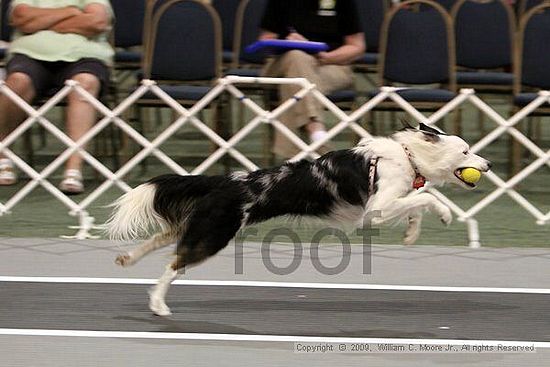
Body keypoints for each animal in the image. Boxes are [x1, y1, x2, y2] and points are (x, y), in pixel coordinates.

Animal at [106, 124, 492, 316]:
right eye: (466, 151)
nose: (487, 166)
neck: (408, 155)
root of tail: (225, 181)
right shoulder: (375, 210)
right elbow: (427, 197)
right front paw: (444, 213)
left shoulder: (390, 201)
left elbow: (417, 203)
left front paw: (412, 234)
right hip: (214, 234)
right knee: (174, 263)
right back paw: (158, 304)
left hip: (199, 225)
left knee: (162, 239)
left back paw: (127, 260)